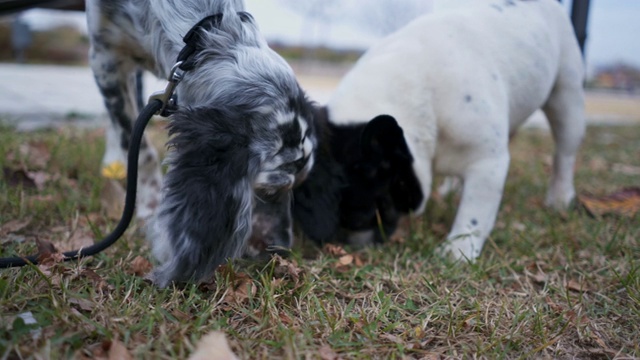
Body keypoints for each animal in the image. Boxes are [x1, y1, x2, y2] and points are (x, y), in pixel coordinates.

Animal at [294, 0, 584, 260]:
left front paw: (458, 249)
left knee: (565, 151)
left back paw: (559, 198)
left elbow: (475, 210)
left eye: (369, 212)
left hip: (566, 96)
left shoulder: (487, 161)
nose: (350, 242)